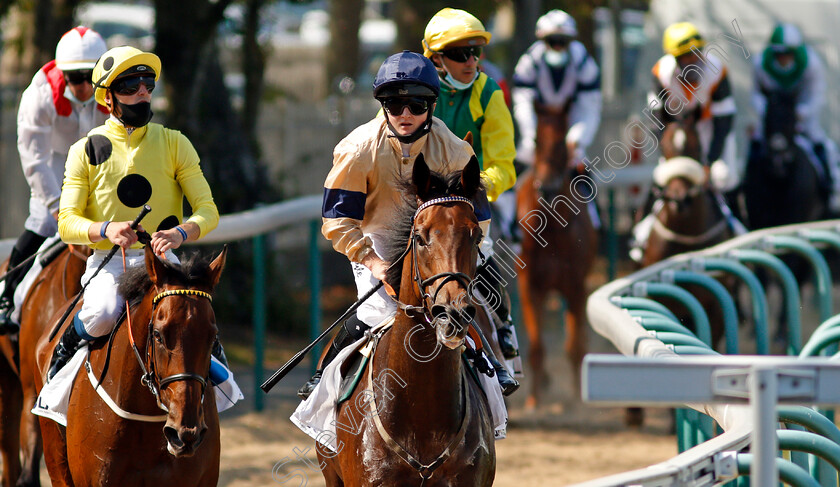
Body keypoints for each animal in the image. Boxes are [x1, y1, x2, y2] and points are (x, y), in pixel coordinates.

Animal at [512, 102, 596, 408]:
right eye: (536, 140)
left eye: (562, 142)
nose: (547, 188)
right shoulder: (529, 286)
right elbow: (536, 347)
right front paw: (534, 400)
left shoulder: (575, 287)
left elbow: (574, 345)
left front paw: (576, 397)